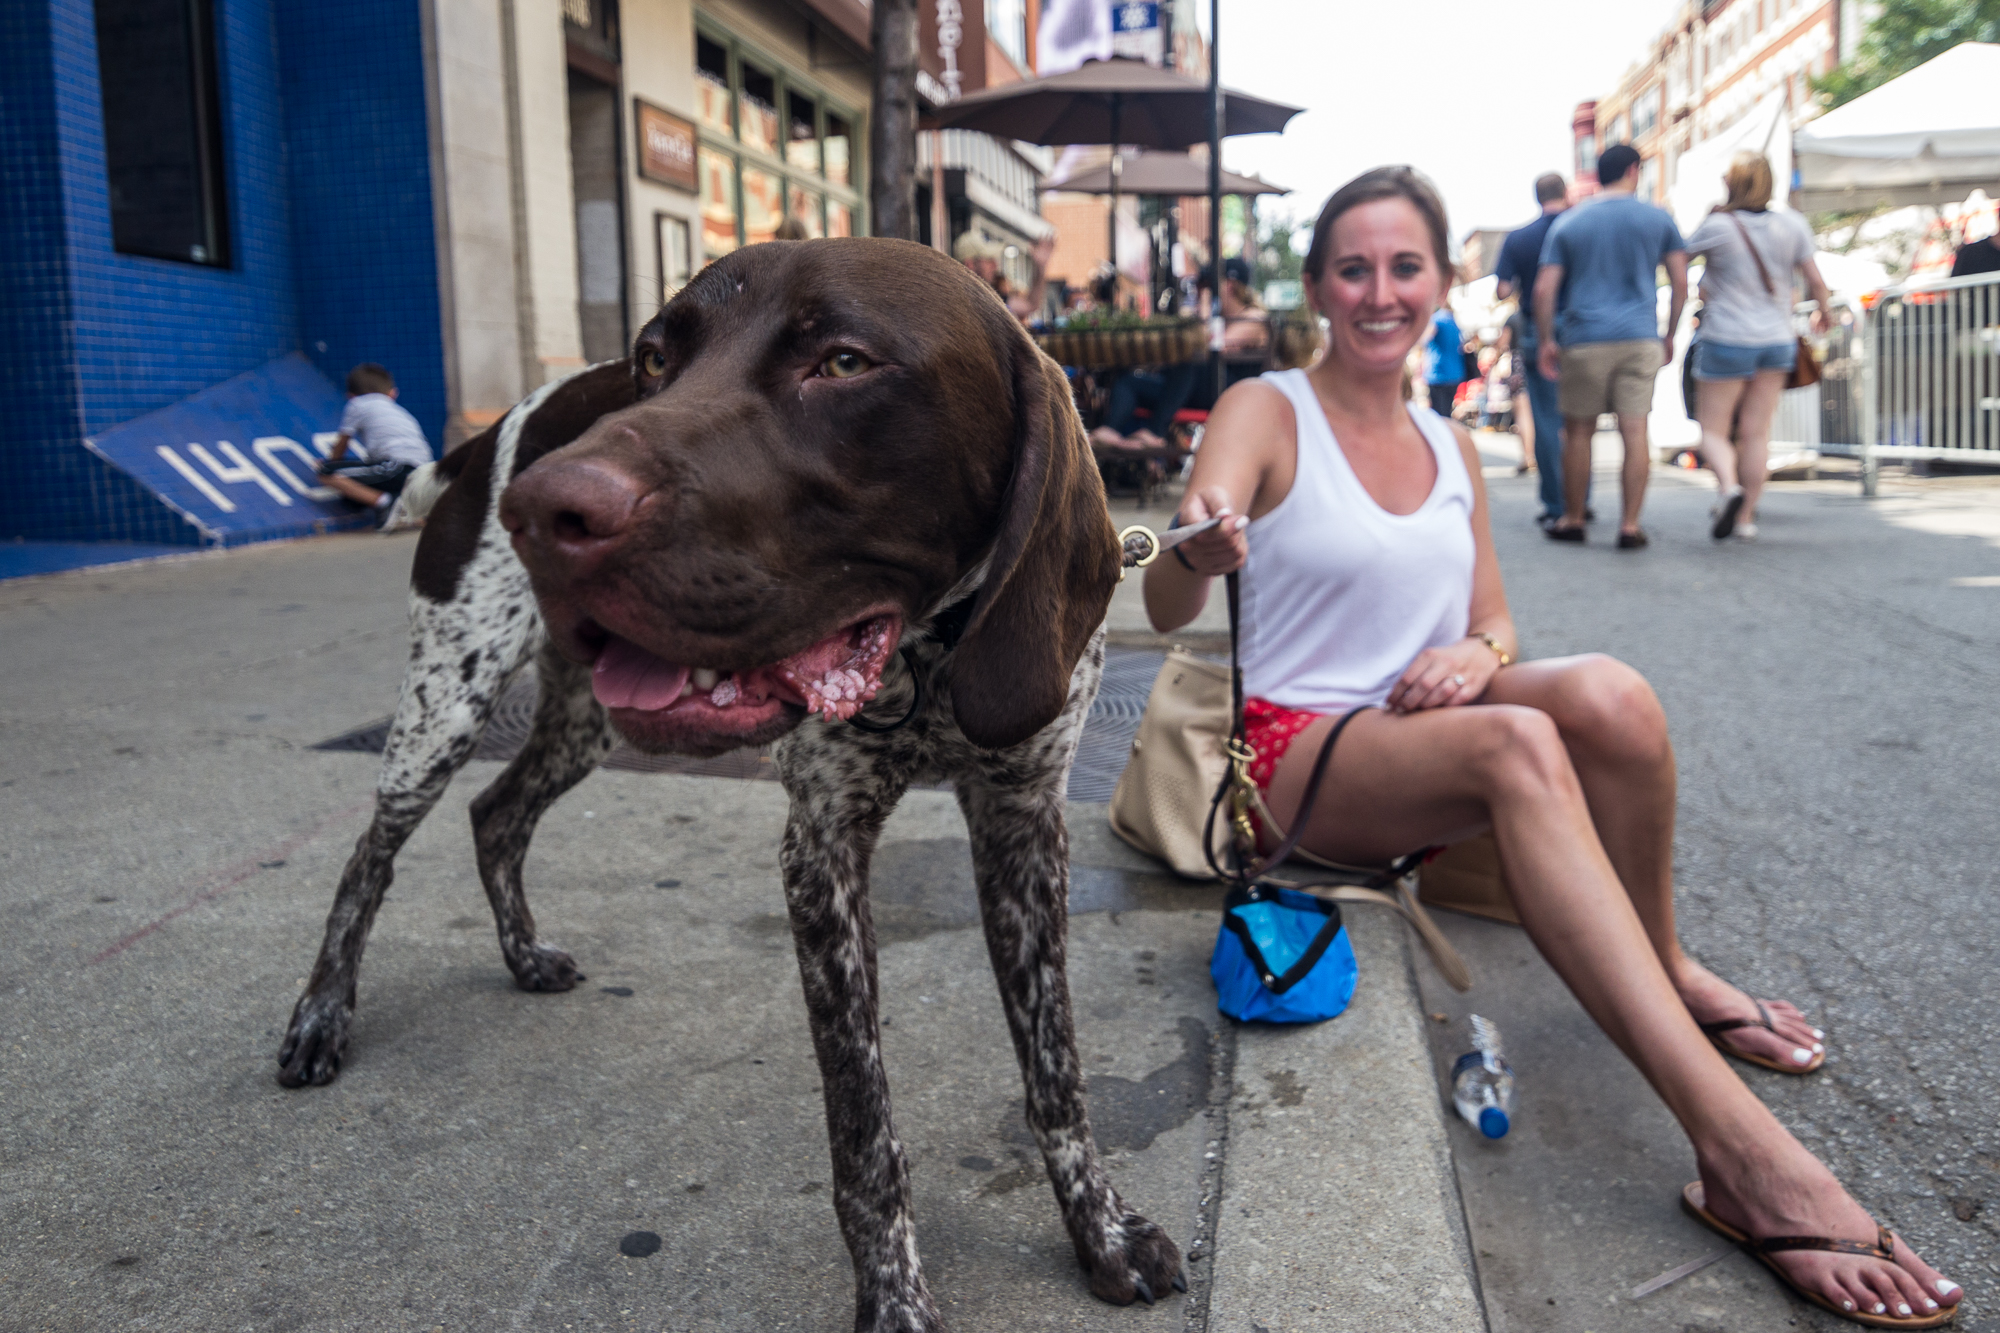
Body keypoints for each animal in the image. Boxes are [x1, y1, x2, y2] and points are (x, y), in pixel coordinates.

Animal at [282, 236, 1184, 1320]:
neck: (926, 658)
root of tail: (492, 435)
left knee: (497, 812)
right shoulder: (822, 850)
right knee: (369, 857)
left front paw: (1100, 1228)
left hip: (581, 723)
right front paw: (896, 1298)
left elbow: (1055, 1070)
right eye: (653, 358)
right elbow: (863, 1125)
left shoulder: (1022, 822)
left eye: (844, 362)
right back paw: (320, 1014)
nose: (542, 509)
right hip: (444, 706)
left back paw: (522, 952)